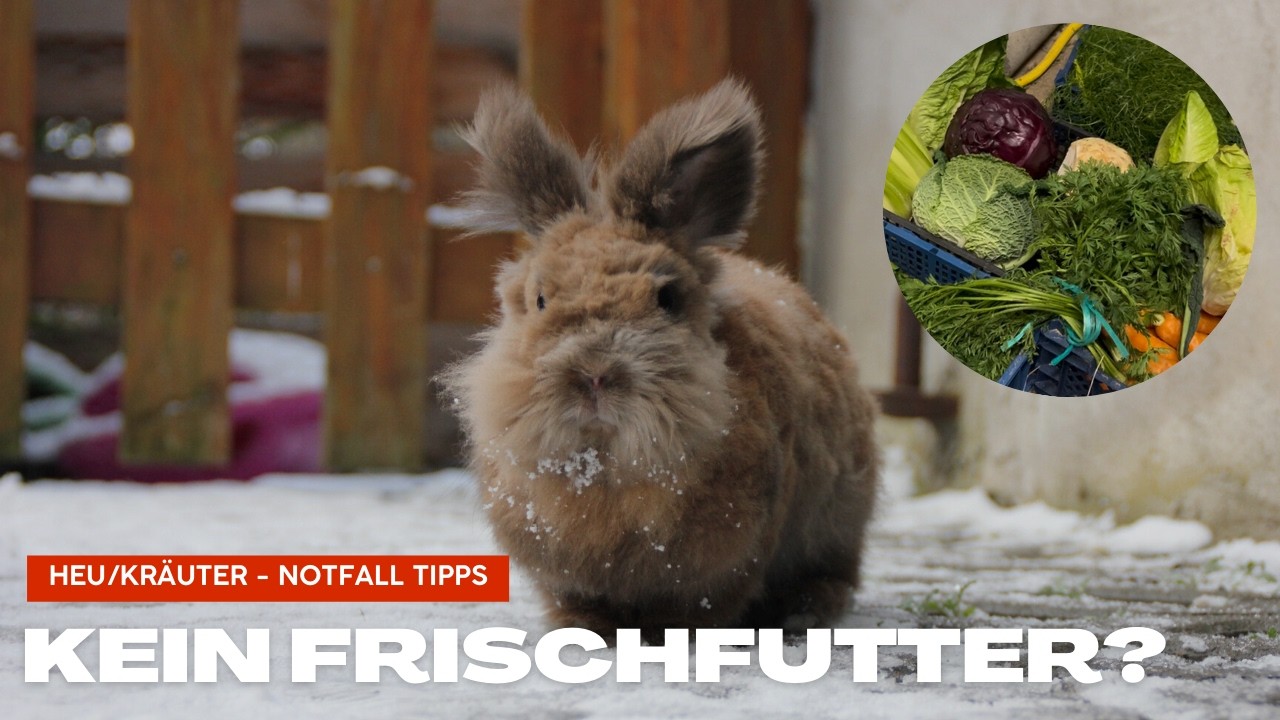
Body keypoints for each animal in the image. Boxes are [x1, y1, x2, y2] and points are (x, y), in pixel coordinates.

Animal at [441, 78, 879, 639]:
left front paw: (669, 632)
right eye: (539, 300)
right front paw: (585, 628)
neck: (605, 469)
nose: (595, 375)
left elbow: (693, 608)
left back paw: (804, 610)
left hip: (835, 526)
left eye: (666, 298)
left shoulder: (721, 570)